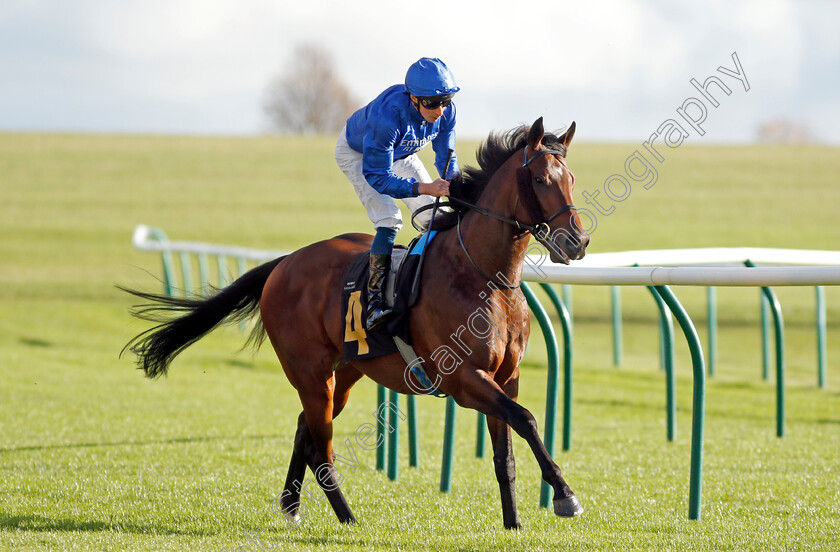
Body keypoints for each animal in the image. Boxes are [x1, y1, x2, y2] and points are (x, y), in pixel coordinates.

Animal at [123, 117, 592, 532]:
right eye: (540, 179)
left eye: (570, 177)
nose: (577, 241)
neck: (482, 275)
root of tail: (283, 264)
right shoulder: (463, 379)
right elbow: (527, 420)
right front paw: (566, 497)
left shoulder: (505, 376)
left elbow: (506, 452)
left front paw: (514, 523)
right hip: (311, 375)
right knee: (321, 447)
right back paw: (346, 517)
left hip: (346, 372)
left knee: (305, 430)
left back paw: (291, 507)